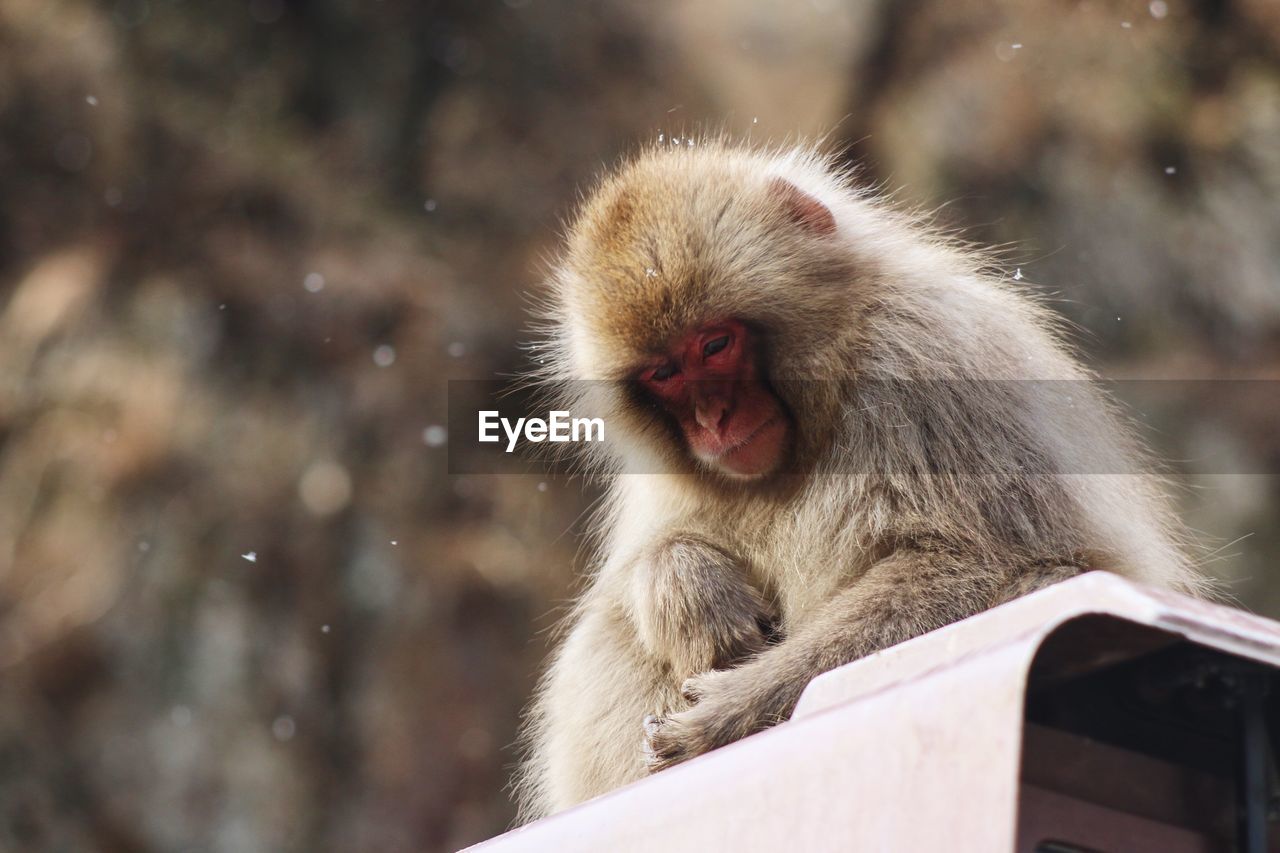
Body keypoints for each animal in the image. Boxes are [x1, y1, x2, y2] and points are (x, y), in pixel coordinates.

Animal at [512, 139, 1205, 821]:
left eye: (714, 344)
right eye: (663, 373)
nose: (713, 420)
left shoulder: (928, 359)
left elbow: (984, 561)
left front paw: (727, 711)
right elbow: (647, 565)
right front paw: (682, 583)